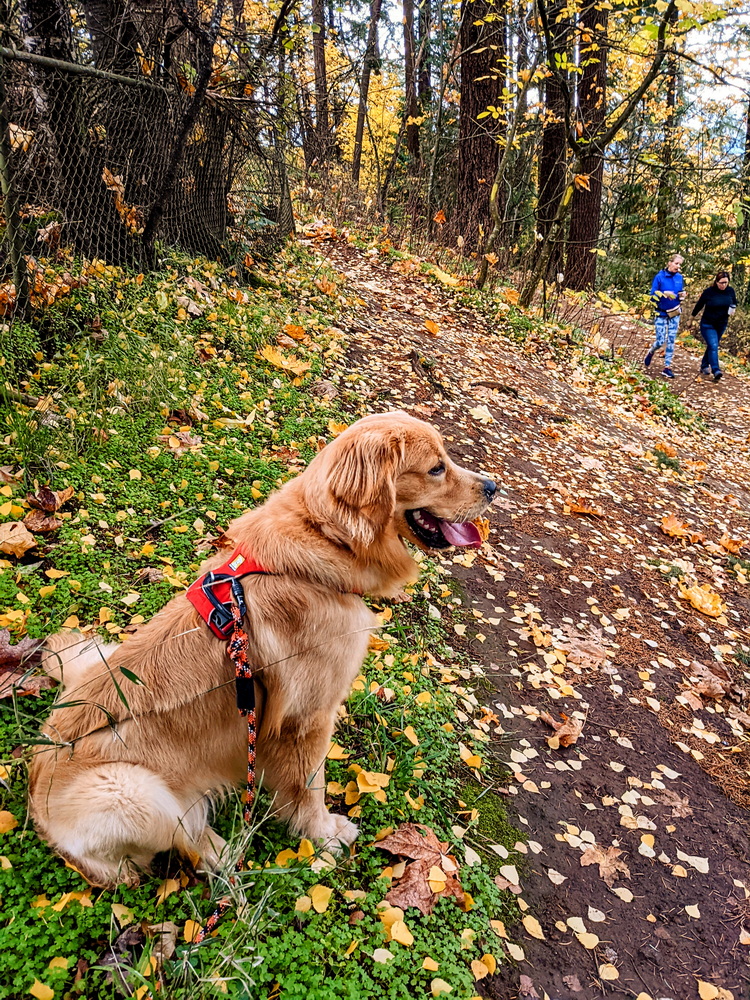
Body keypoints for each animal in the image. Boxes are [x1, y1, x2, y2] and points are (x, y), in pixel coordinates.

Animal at [29, 410, 496, 888]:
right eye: (436, 468)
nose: (493, 487)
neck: (327, 542)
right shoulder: (306, 719)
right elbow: (309, 786)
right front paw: (323, 835)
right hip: (131, 790)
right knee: (186, 835)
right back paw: (224, 850)